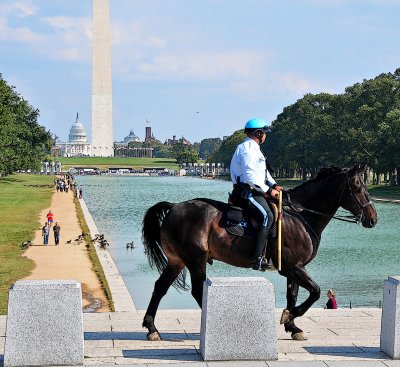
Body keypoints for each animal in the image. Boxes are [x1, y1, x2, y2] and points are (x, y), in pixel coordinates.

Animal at [142, 165, 376, 340]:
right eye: (357, 187)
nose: (373, 218)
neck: (300, 215)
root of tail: (174, 207)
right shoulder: (293, 267)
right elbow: (315, 291)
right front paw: (290, 316)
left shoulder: (294, 268)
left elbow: (293, 295)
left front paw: (292, 326)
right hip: (195, 260)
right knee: (198, 291)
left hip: (177, 261)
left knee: (160, 287)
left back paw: (152, 328)